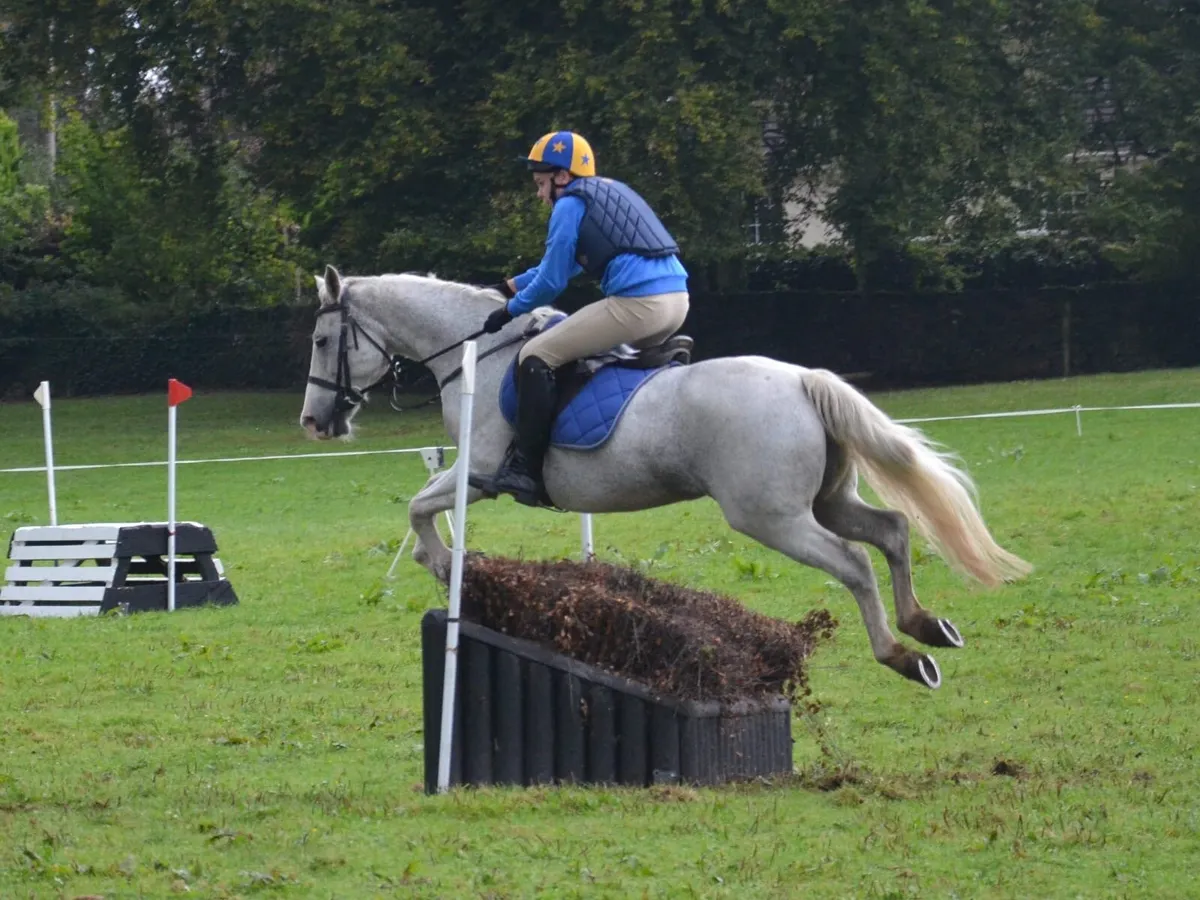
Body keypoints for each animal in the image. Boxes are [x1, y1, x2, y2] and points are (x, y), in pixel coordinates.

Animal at [300, 265, 1032, 689]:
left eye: (321, 341)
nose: (313, 422)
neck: (479, 354)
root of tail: (802, 379)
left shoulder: (477, 473)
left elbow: (419, 510)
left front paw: (443, 563)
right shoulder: (470, 475)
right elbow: (421, 508)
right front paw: (450, 566)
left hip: (770, 517)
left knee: (853, 562)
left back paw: (901, 656)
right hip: (824, 501)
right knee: (893, 531)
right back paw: (925, 626)